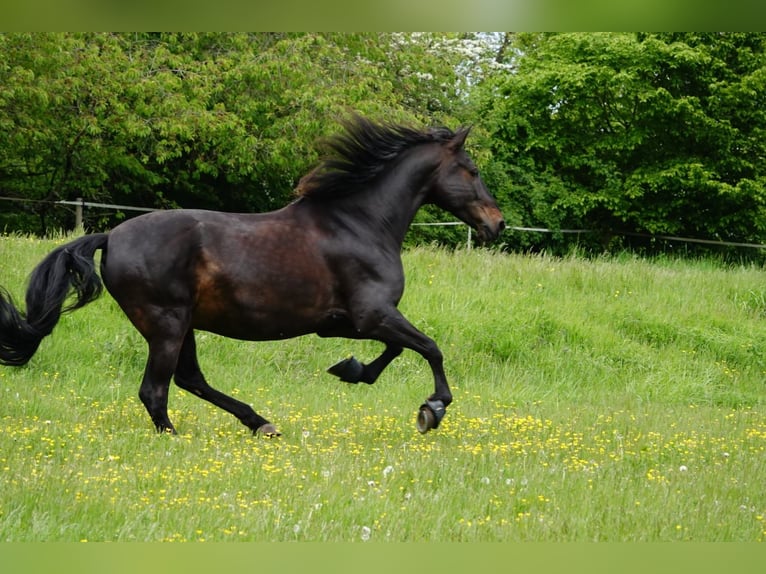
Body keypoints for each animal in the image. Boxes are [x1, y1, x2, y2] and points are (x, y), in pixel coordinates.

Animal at [0, 115, 505, 436]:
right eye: (473, 169)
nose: (496, 224)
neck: (359, 222)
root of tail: (111, 236)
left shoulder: (348, 323)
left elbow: (398, 349)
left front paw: (350, 370)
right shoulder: (372, 314)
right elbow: (429, 347)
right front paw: (432, 410)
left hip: (183, 326)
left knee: (190, 380)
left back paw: (260, 423)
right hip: (166, 323)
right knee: (156, 390)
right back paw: (177, 437)